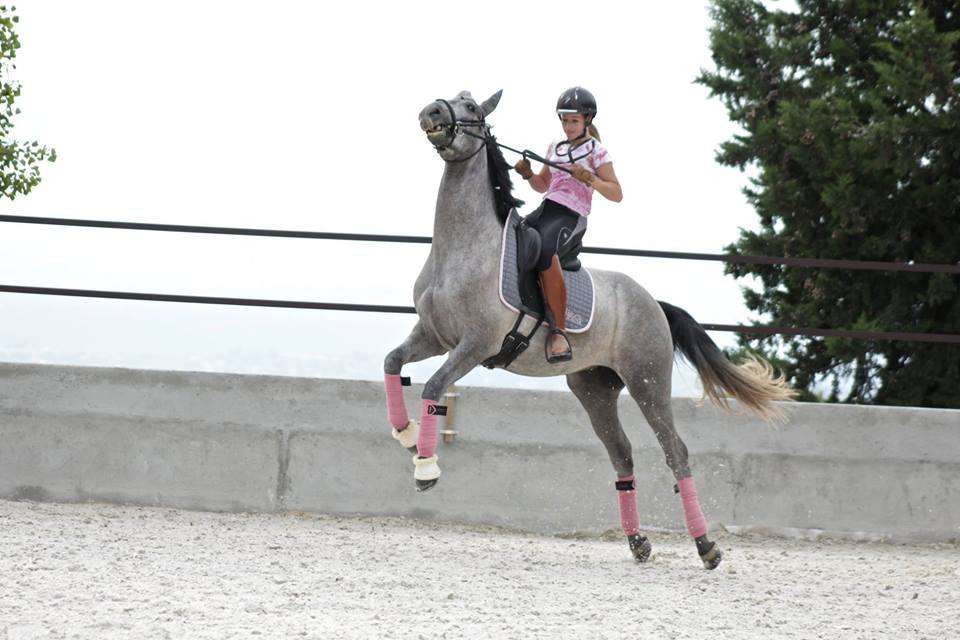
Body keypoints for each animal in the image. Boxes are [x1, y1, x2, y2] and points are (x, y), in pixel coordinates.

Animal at [382, 89, 794, 569]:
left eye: (471, 109)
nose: (430, 112)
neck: (465, 247)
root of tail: (653, 303)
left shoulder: (475, 344)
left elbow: (432, 388)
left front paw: (426, 467)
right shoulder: (432, 335)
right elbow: (392, 363)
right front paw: (406, 434)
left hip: (647, 380)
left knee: (675, 450)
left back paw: (706, 546)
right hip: (594, 388)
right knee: (622, 453)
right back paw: (638, 543)